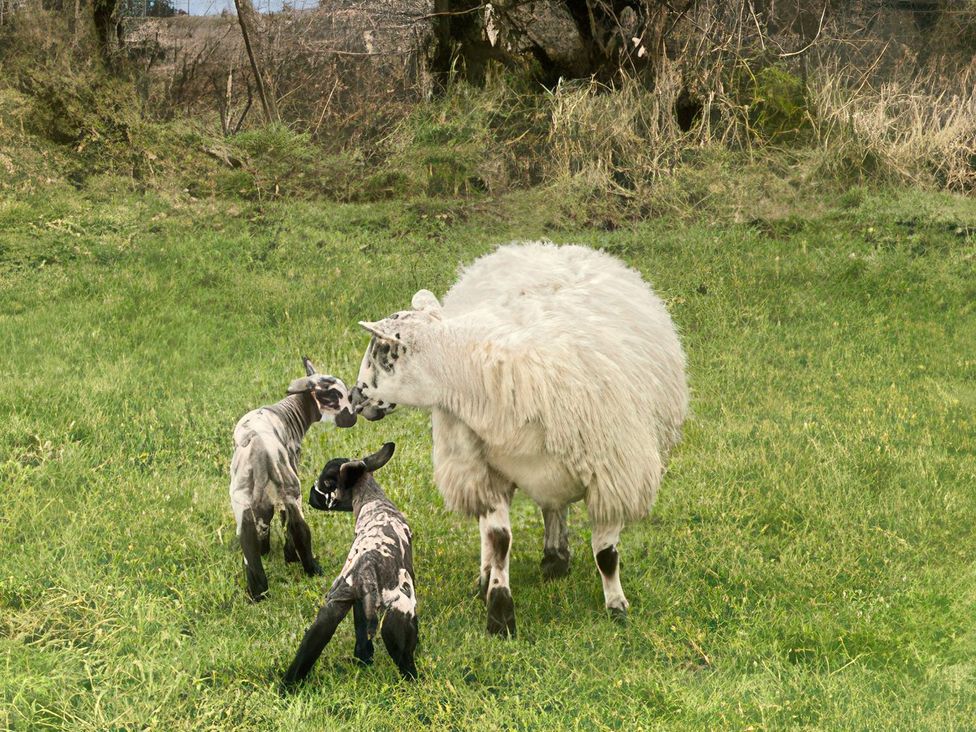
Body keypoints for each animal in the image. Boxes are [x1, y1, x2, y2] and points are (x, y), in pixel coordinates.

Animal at [230, 354, 358, 600]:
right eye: (334, 396)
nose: (353, 417)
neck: (289, 413)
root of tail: (258, 449)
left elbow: (265, 521)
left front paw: (268, 552)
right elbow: (287, 523)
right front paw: (290, 557)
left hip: (240, 495)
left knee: (248, 540)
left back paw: (258, 592)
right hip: (290, 486)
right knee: (299, 527)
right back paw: (311, 568)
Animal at [282, 444, 420, 688]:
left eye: (327, 481)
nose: (309, 494)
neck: (373, 500)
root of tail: (368, 570)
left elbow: (360, 626)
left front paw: (365, 656)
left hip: (333, 607)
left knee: (310, 646)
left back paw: (287, 686)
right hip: (397, 620)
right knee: (406, 665)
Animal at [348, 242, 688, 636]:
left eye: (381, 353)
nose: (354, 399)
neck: (475, 368)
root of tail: (547, 248)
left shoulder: (614, 473)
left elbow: (606, 554)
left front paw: (616, 607)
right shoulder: (483, 468)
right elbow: (499, 539)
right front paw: (499, 611)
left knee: (554, 506)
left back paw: (555, 558)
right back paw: (504, 572)